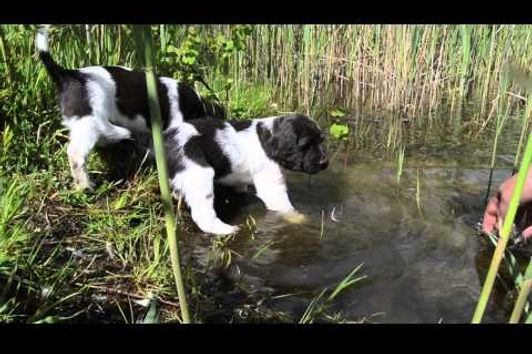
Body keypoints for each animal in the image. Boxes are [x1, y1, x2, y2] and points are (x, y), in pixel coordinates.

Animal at [164, 114, 328, 235]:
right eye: (306, 145)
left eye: (321, 141)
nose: (325, 163)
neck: (269, 139)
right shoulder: (271, 183)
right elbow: (286, 208)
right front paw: (301, 220)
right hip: (198, 173)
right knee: (202, 214)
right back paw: (226, 229)